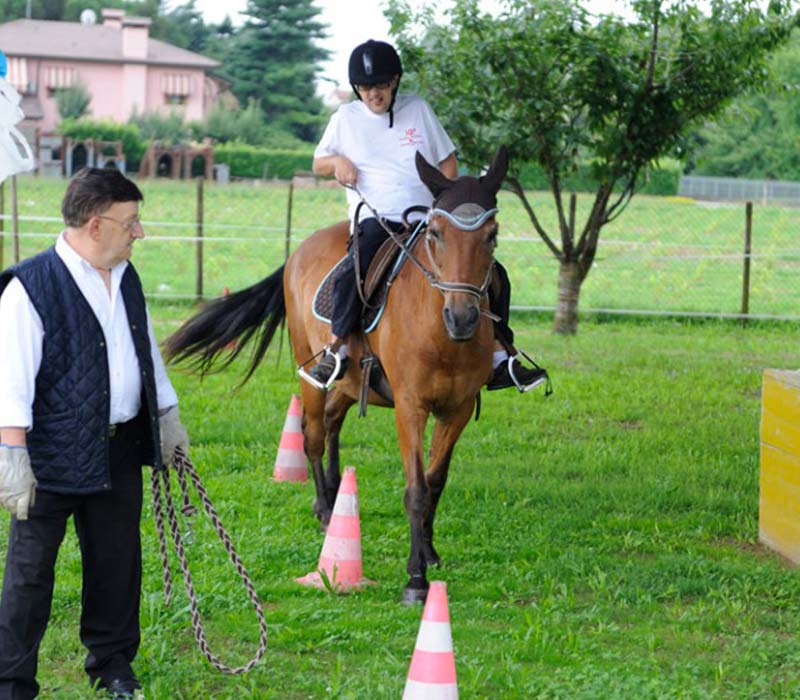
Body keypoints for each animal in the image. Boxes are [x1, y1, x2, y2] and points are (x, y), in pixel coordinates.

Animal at [166, 146, 510, 600]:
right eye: (436, 233)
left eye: (492, 234)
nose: (462, 317)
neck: (441, 337)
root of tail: (298, 252)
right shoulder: (410, 407)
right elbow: (416, 488)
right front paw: (416, 580)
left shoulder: (458, 409)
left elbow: (436, 482)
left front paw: (430, 552)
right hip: (308, 373)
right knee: (312, 435)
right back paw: (328, 510)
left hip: (349, 385)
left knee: (331, 424)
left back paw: (330, 493)